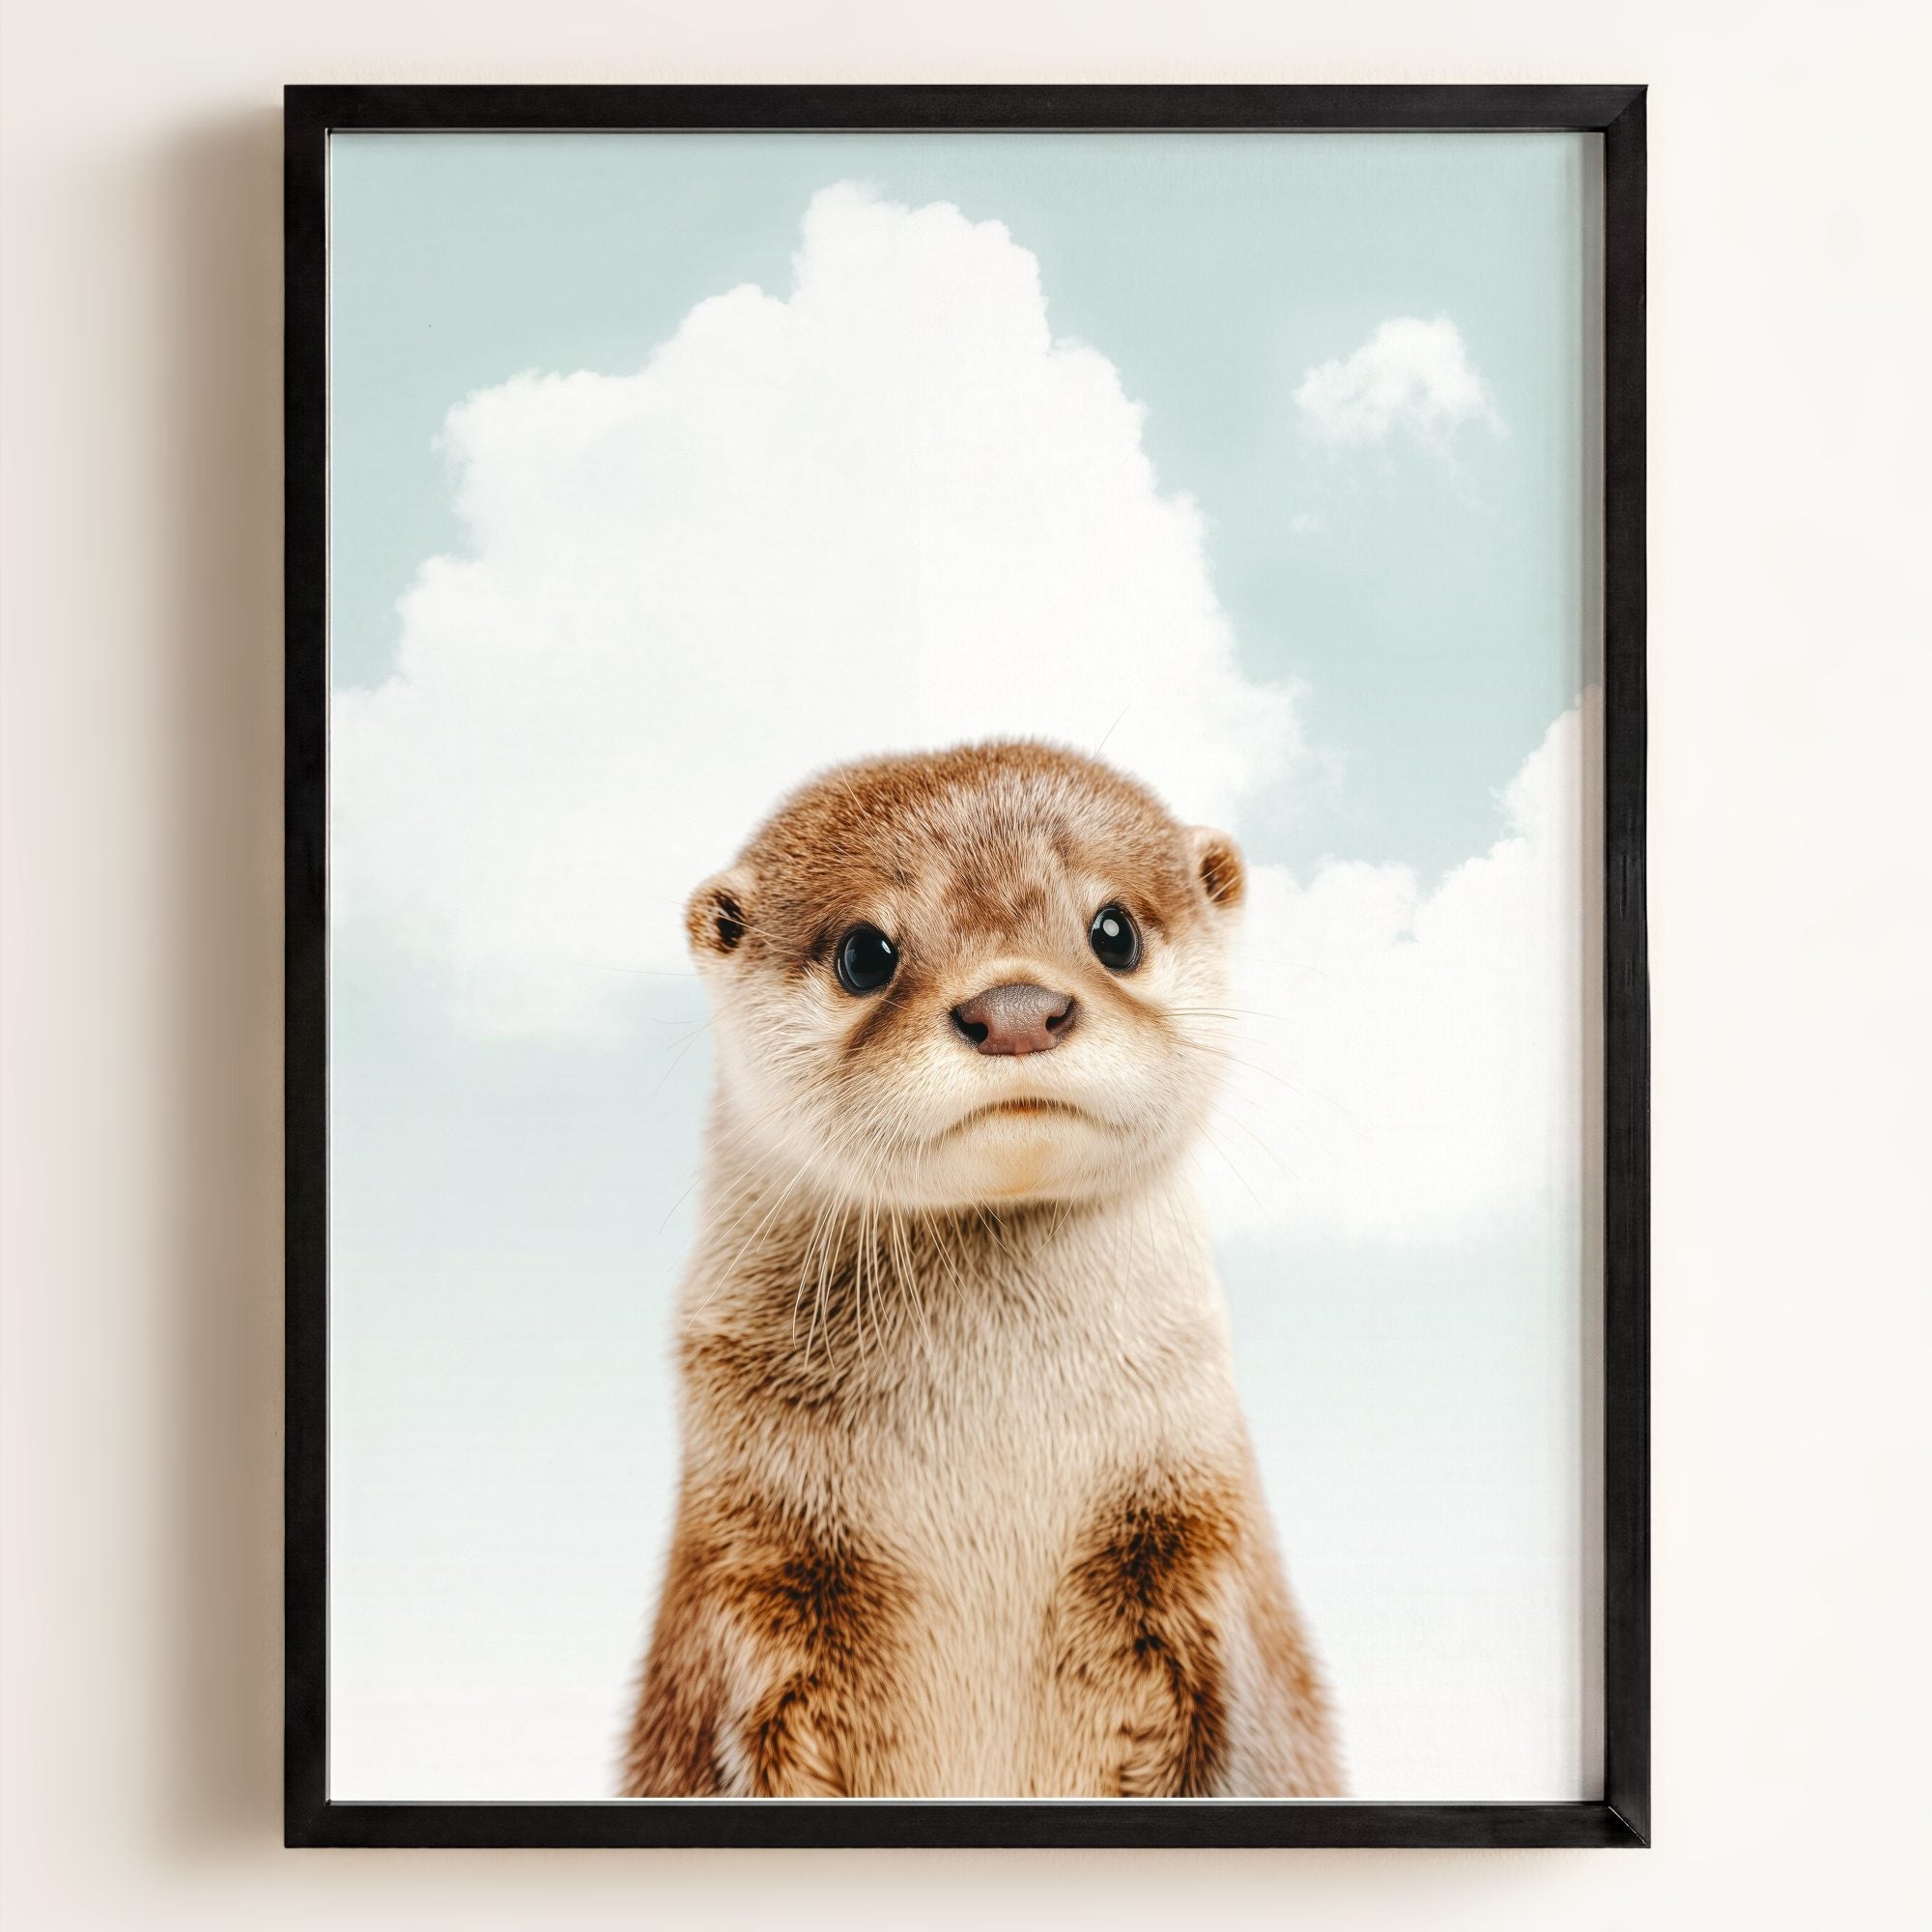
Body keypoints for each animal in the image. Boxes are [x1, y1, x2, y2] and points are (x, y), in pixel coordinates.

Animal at [622, 741, 1340, 1798]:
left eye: (1113, 930)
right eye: (865, 952)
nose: (1016, 1009)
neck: (992, 1456)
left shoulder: (1201, 1548)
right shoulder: (744, 1569)